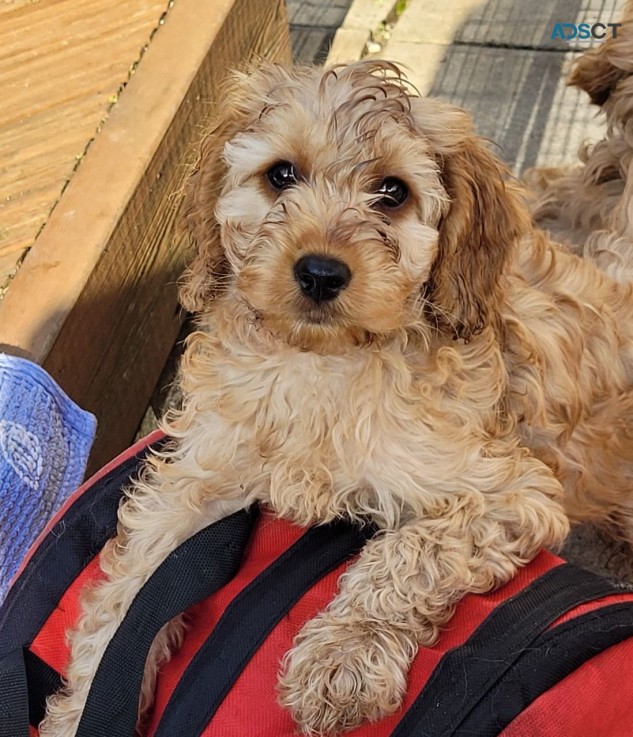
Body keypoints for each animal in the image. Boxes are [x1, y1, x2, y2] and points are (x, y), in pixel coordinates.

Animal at [40, 59, 633, 736]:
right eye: (281, 175)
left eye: (393, 192)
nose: (321, 273)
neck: (322, 364)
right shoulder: (198, 475)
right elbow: (128, 596)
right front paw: (83, 709)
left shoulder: (509, 492)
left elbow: (411, 551)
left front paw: (344, 655)